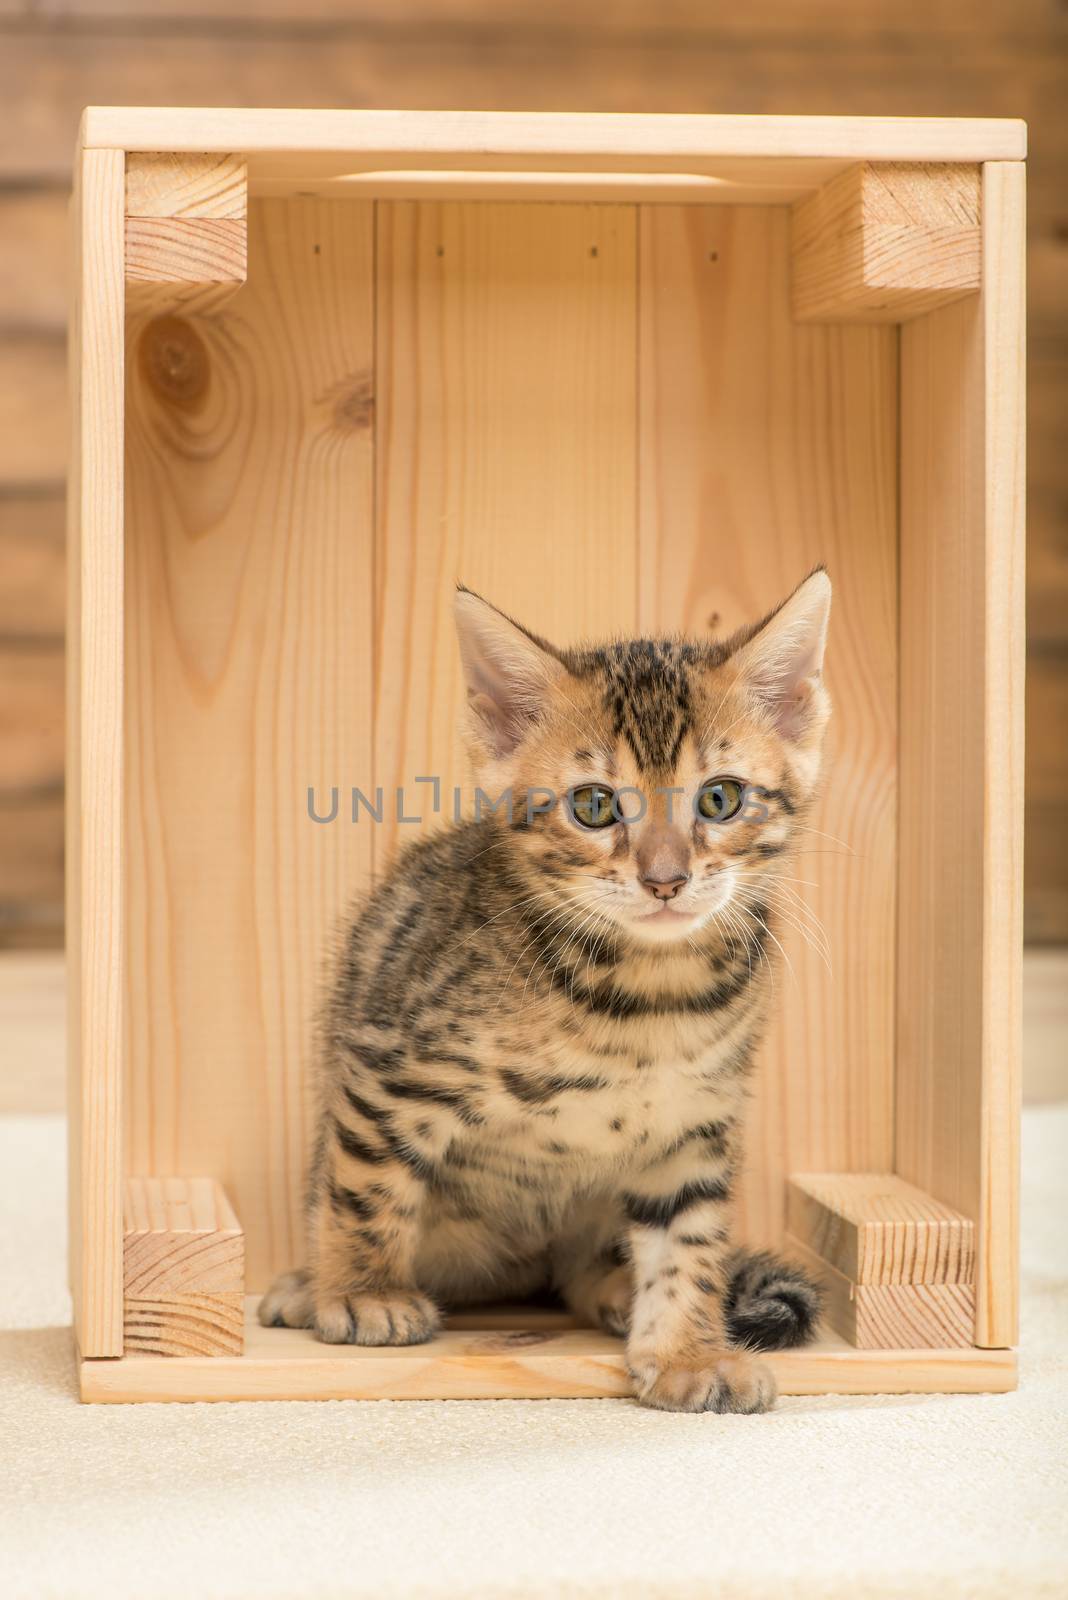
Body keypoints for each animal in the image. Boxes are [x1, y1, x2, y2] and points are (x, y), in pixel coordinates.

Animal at [262, 572, 831, 1414]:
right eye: (594, 806)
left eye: (720, 799)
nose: (666, 879)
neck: (647, 993)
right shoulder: (388, 1064)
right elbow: (367, 1187)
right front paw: (363, 1290)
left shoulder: (692, 1120)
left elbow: (687, 1241)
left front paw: (688, 1349)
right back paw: (311, 1285)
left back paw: (617, 1287)